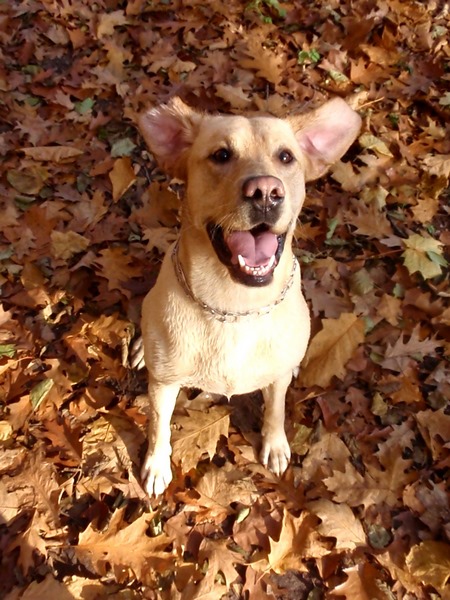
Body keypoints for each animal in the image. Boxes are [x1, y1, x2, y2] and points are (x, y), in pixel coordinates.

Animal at [135, 96, 360, 494]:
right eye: (221, 155)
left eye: (286, 157)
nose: (266, 192)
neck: (234, 307)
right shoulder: (164, 384)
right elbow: (158, 425)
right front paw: (157, 464)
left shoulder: (276, 379)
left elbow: (276, 408)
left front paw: (275, 443)